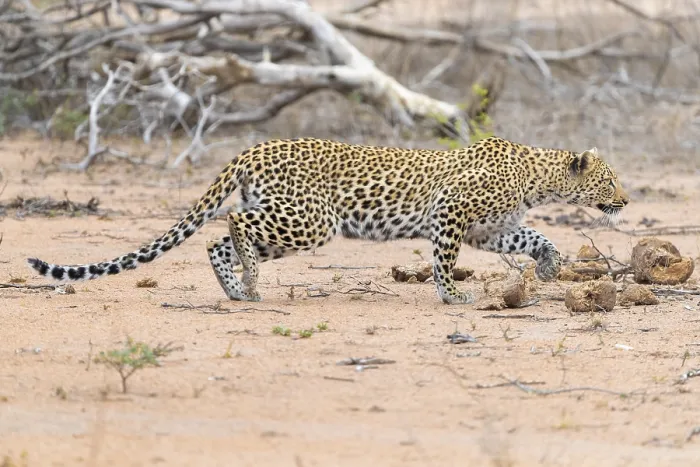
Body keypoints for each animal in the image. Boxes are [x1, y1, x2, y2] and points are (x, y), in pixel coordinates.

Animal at [27, 136, 629, 305]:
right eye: (609, 181)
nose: (625, 202)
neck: (538, 174)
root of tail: (254, 148)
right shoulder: (453, 215)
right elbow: (444, 260)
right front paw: (452, 296)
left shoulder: (490, 228)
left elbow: (537, 236)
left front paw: (548, 268)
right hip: (309, 219)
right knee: (233, 226)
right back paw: (249, 281)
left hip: (292, 221)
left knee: (216, 244)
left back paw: (239, 291)